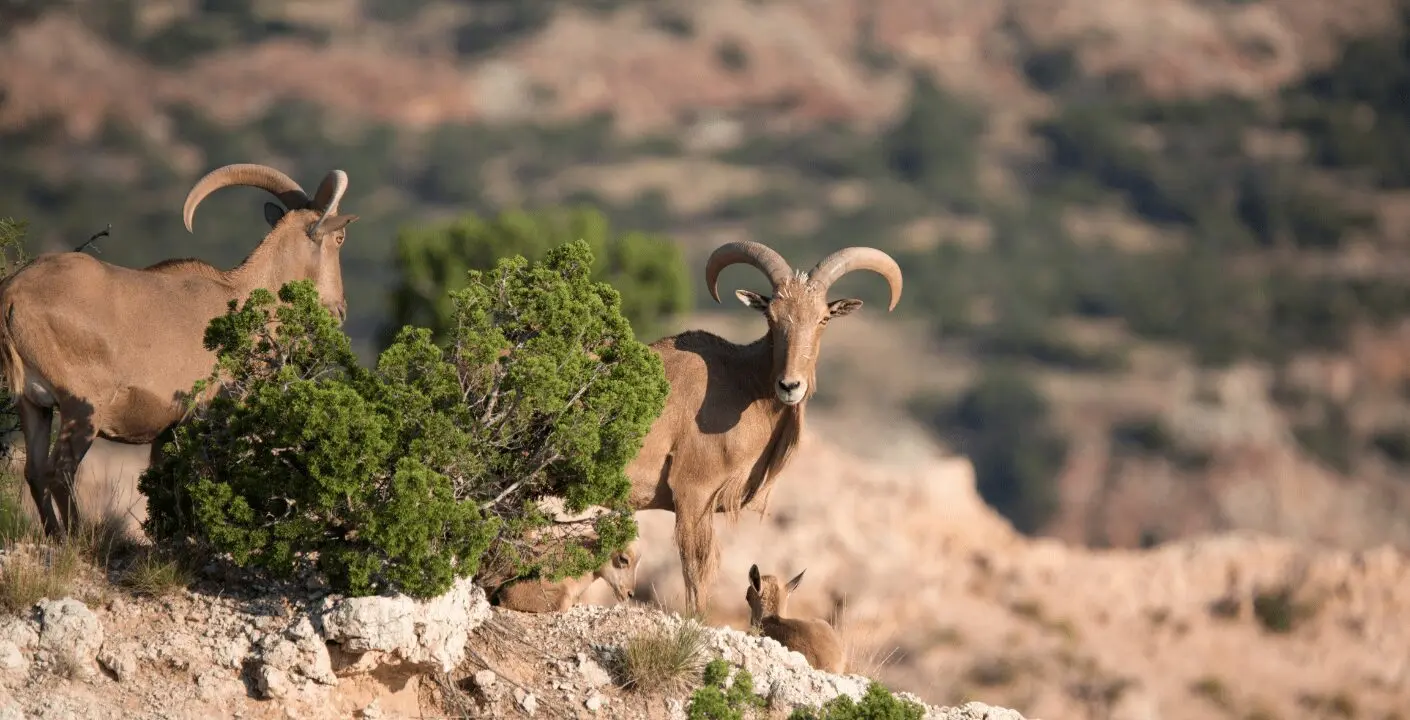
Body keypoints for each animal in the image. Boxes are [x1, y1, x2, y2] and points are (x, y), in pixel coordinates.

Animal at [0, 162, 359, 537]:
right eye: (339, 239)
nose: (339, 310)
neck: (246, 298)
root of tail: (11, 295)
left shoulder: (168, 431)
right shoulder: (207, 417)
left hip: (32, 405)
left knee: (35, 472)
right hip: (82, 407)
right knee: (61, 471)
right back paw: (77, 539)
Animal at [624, 240, 902, 616]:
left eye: (823, 318)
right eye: (771, 317)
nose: (790, 385)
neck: (741, 382)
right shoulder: (693, 491)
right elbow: (697, 570)